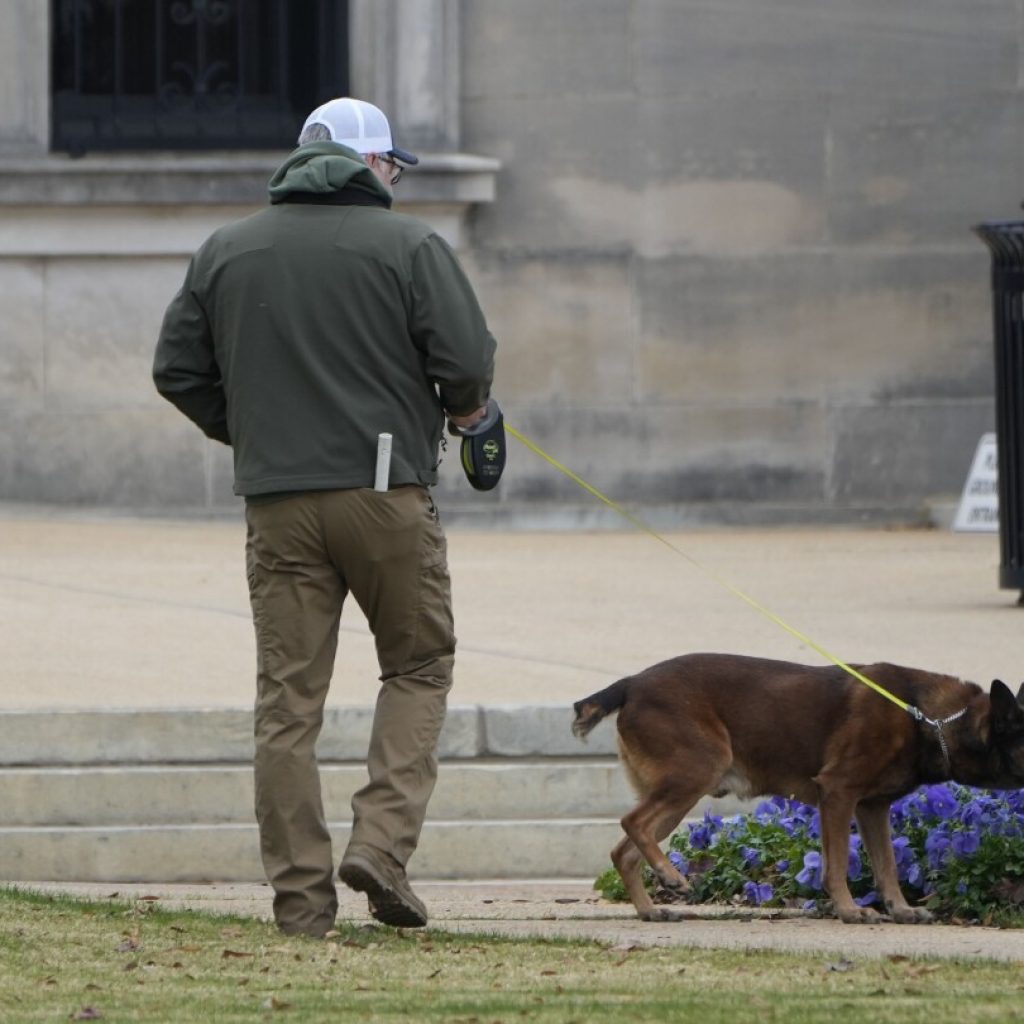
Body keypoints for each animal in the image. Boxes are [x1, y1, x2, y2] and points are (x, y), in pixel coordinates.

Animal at [573, 655, 1024, 929]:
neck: (929, 718)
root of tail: (631, 684)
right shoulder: (838, 793)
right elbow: (837, 864)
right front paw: (849, 910)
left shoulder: (873, 808)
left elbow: (887, 866)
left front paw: (900, 909)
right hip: (696, 772)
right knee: (632, 823)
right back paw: (670, 876)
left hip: (678, 790)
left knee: (624, 850)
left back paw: (651, 909)